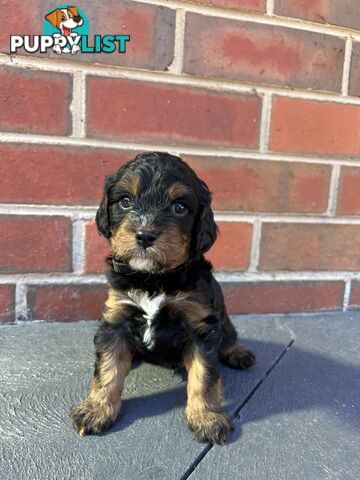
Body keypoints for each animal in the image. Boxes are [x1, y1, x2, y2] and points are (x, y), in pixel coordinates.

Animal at [71, 152, 256, 444]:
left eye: (180, 207)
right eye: (125, 201)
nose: (145, 235)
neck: (154, 279)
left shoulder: (201, 327)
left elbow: (204, 376)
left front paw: (207, 418)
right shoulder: (116, 319)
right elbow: (108, 369)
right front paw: (96, 410)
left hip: (223, 321)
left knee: (228, 337)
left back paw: (238, 353)